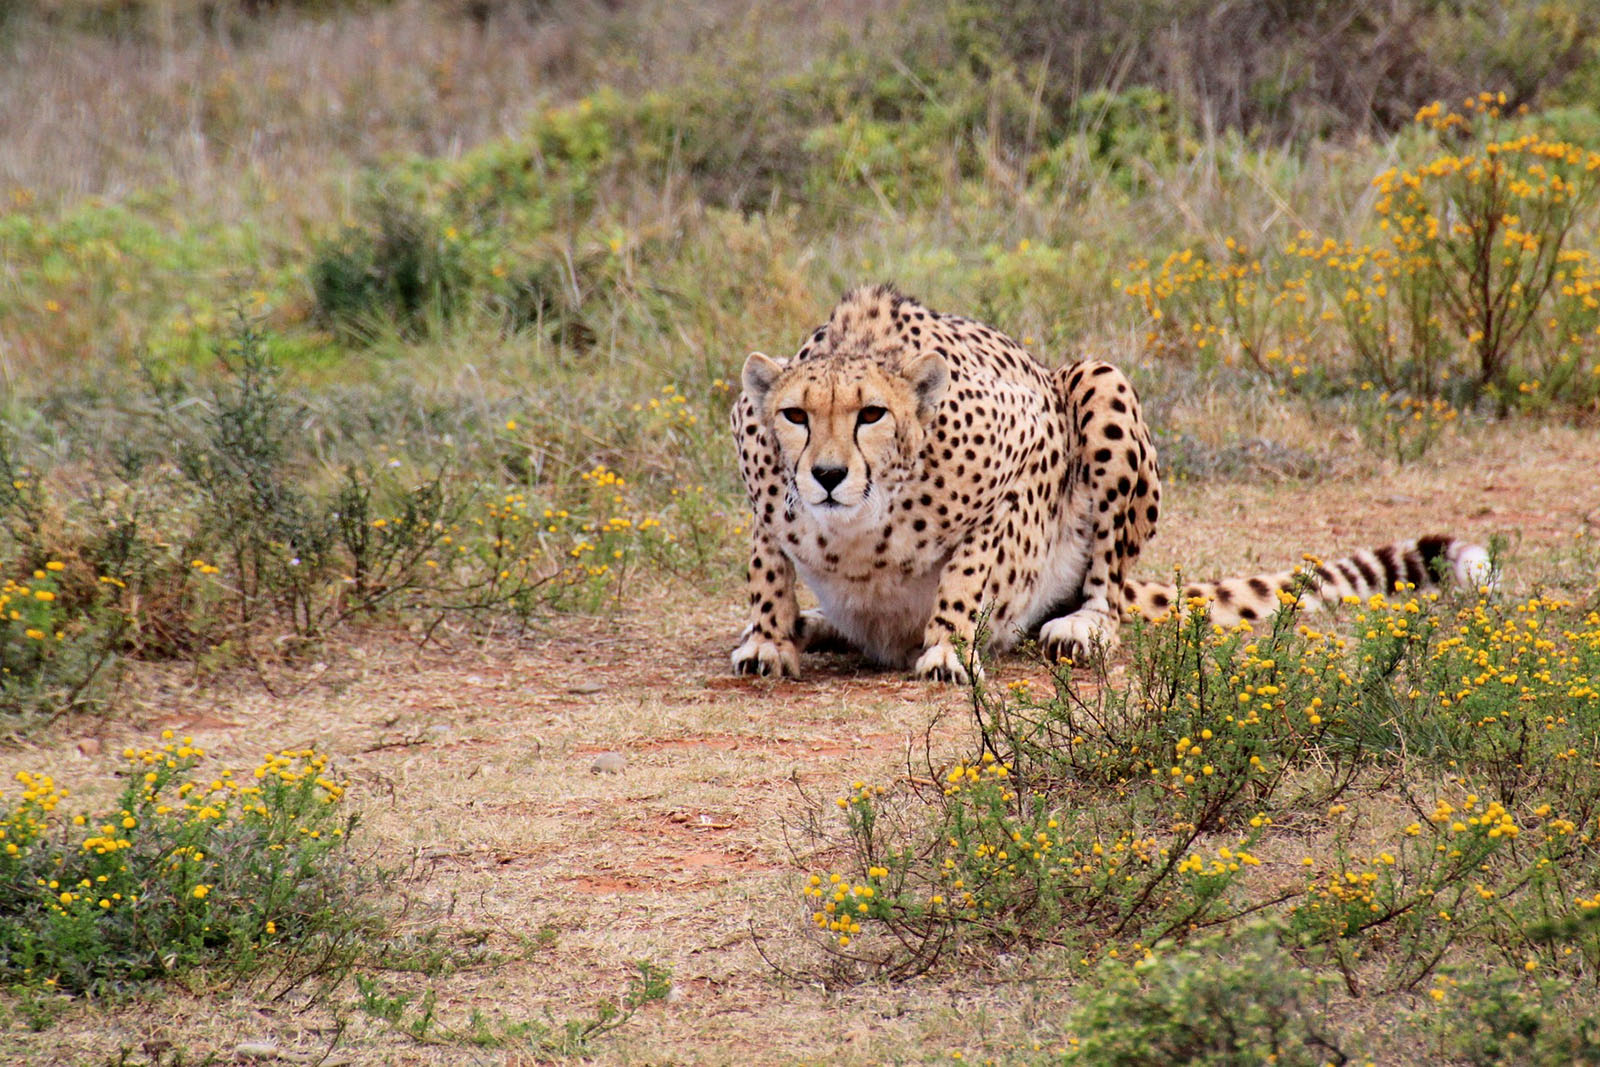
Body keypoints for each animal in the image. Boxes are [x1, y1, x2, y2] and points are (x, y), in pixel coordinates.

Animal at [732, 283, 1491, 684]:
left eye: (872, 414)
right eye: (796, 415)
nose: (828, 475)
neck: (858, 525)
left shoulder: (1030, 450)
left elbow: (972, 565)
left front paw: (947, 644)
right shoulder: (760, 479)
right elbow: (767, 563)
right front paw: (770, 637)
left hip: (1100, 382)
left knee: (1109, 582)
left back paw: (1084, 625)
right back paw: (815, 623)